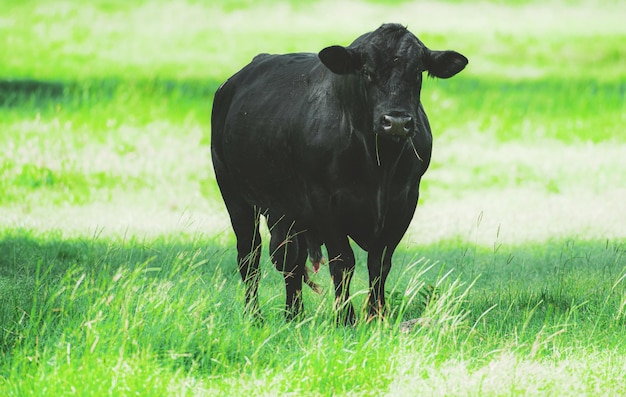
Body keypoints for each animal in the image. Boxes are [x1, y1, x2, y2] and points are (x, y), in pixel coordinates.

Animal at [212, 23, 466, 324]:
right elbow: (343, 261)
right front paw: (346, 318)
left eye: (417, 72)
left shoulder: (405, 200)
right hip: (234, 195)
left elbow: (380, 262)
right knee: (250, 256)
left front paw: (376, 316)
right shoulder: (324, 201)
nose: (396, 122)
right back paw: (255, 316)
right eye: (367, 71)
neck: (379, 166)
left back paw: (294, 315)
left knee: (290, 259)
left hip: (285, 211)